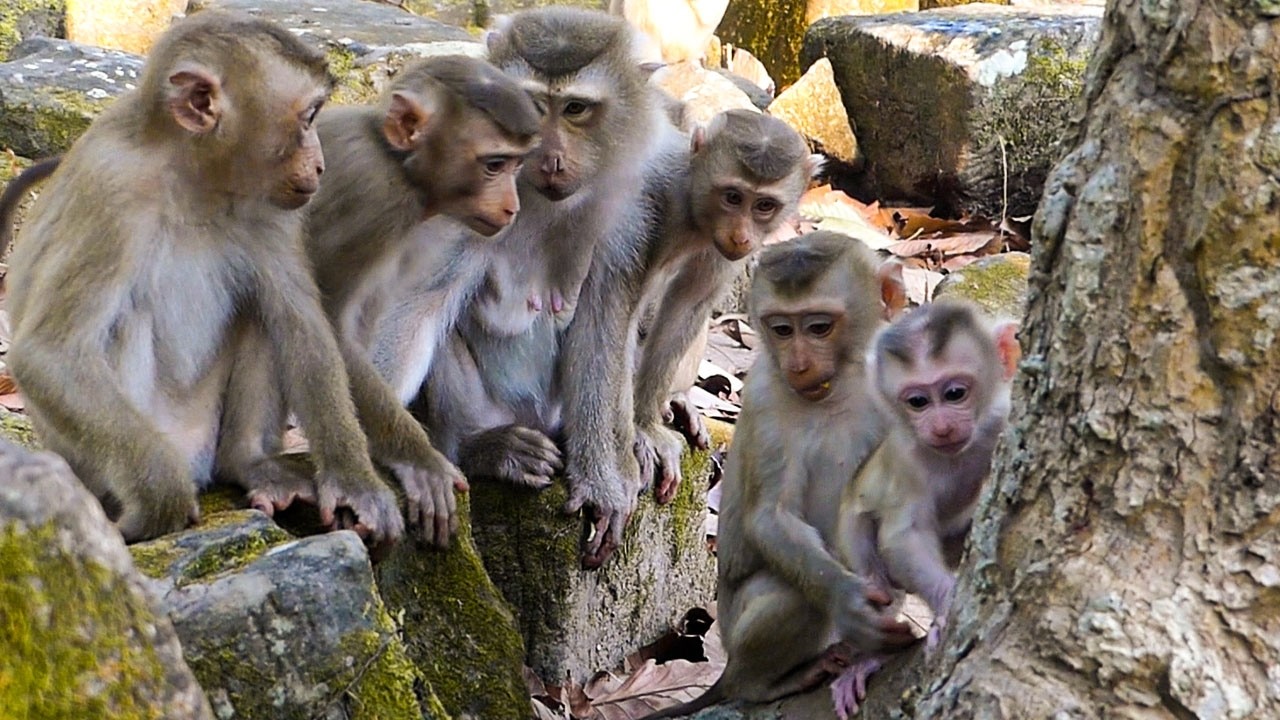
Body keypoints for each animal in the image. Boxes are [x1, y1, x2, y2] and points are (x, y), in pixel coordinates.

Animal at [2, 10, 409, 544]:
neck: (193, 179)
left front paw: (354, 483)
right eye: (308, 118)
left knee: (265, 311)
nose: (321, 165)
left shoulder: (272, 206)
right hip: (102, 458)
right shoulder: (111, 192)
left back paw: (250, 463)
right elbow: (51, 353)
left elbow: (302, 325)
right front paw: (161, 500)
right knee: (124, 318)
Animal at [216, 54, 543, 547]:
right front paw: (417, 459)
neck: (397, 164)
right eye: (495, 164)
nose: (512, 206)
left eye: (515, 165)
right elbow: (328, 325)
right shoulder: (373, 203)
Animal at [641, 231, 914, 719]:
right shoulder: (766, 396)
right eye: (782, 329)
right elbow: (771, 515)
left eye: (819, 327)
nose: (798, 363)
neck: (839, 388)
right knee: (793, 597)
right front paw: (849, 601)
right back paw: (759, 683)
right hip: (737, 634)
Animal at [828, 298, 1019, 719]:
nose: (941, 427)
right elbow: (904, 537)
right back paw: (871, 656)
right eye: (918, 402)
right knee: (871, 568)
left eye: (954, 393)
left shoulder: (1003, 418)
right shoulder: (908, 459)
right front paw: (948, 606)